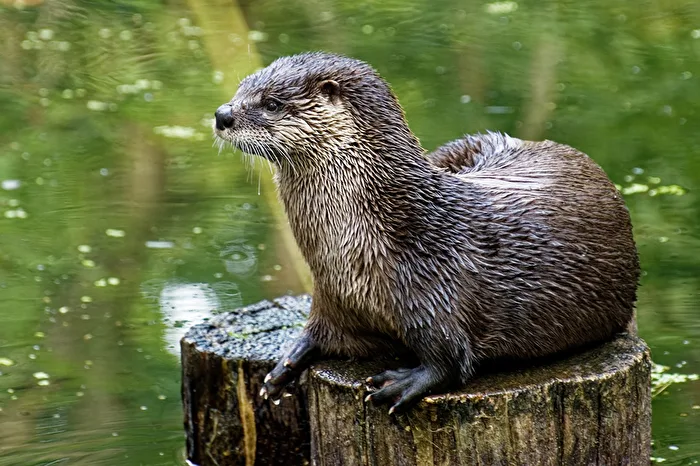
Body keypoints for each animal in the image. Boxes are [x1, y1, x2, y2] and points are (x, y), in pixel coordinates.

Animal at [213, 52, 639, 414]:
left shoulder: (438, 292)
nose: (222, 115)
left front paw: (403, 383)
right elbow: (320, 333)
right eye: (241, 87)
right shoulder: (334, 296)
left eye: (271, 103)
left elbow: (450, 361)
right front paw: (285, 365)